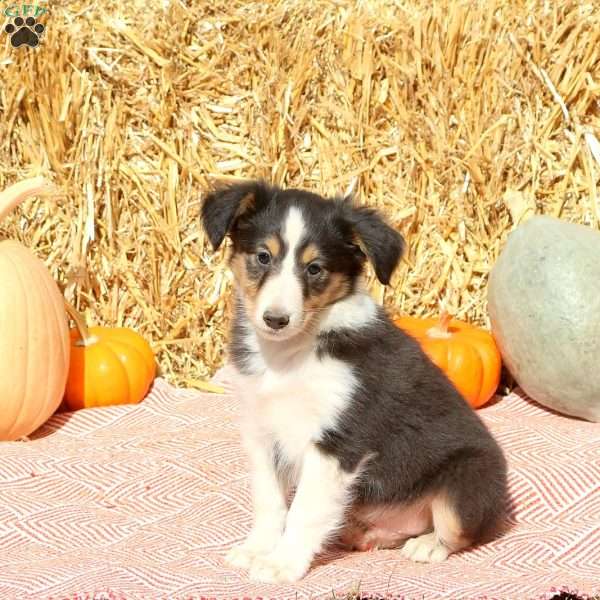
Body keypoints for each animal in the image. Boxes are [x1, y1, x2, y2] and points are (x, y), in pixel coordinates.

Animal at [200, 182, 506, 580]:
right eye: (263, 257)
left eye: (315, 269)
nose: (275, 320)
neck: (289, 354)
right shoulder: (261, 429)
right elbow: (268, 500)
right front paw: (257, 549)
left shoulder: (337, 442)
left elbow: (303, 511)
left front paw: (281, 564)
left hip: (466, 479)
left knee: (458, 531)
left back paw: (426, 545)